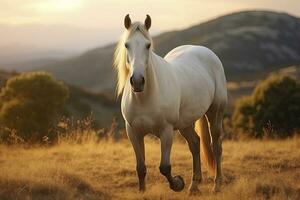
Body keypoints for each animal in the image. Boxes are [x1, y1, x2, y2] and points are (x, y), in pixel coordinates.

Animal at [115, 14, 227, 194]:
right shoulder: (133, 132)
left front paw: (178, 183)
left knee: (216, 146)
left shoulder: (166, 132)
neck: (145, 98)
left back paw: (216, 185)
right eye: (127, 45)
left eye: (148, 45)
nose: (137, 81)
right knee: (195, 144)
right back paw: (194, 186)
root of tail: (205, 51)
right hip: (185, 123)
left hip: (215, 113)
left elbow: (165, 167)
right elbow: (141, 167)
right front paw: (142, 192)